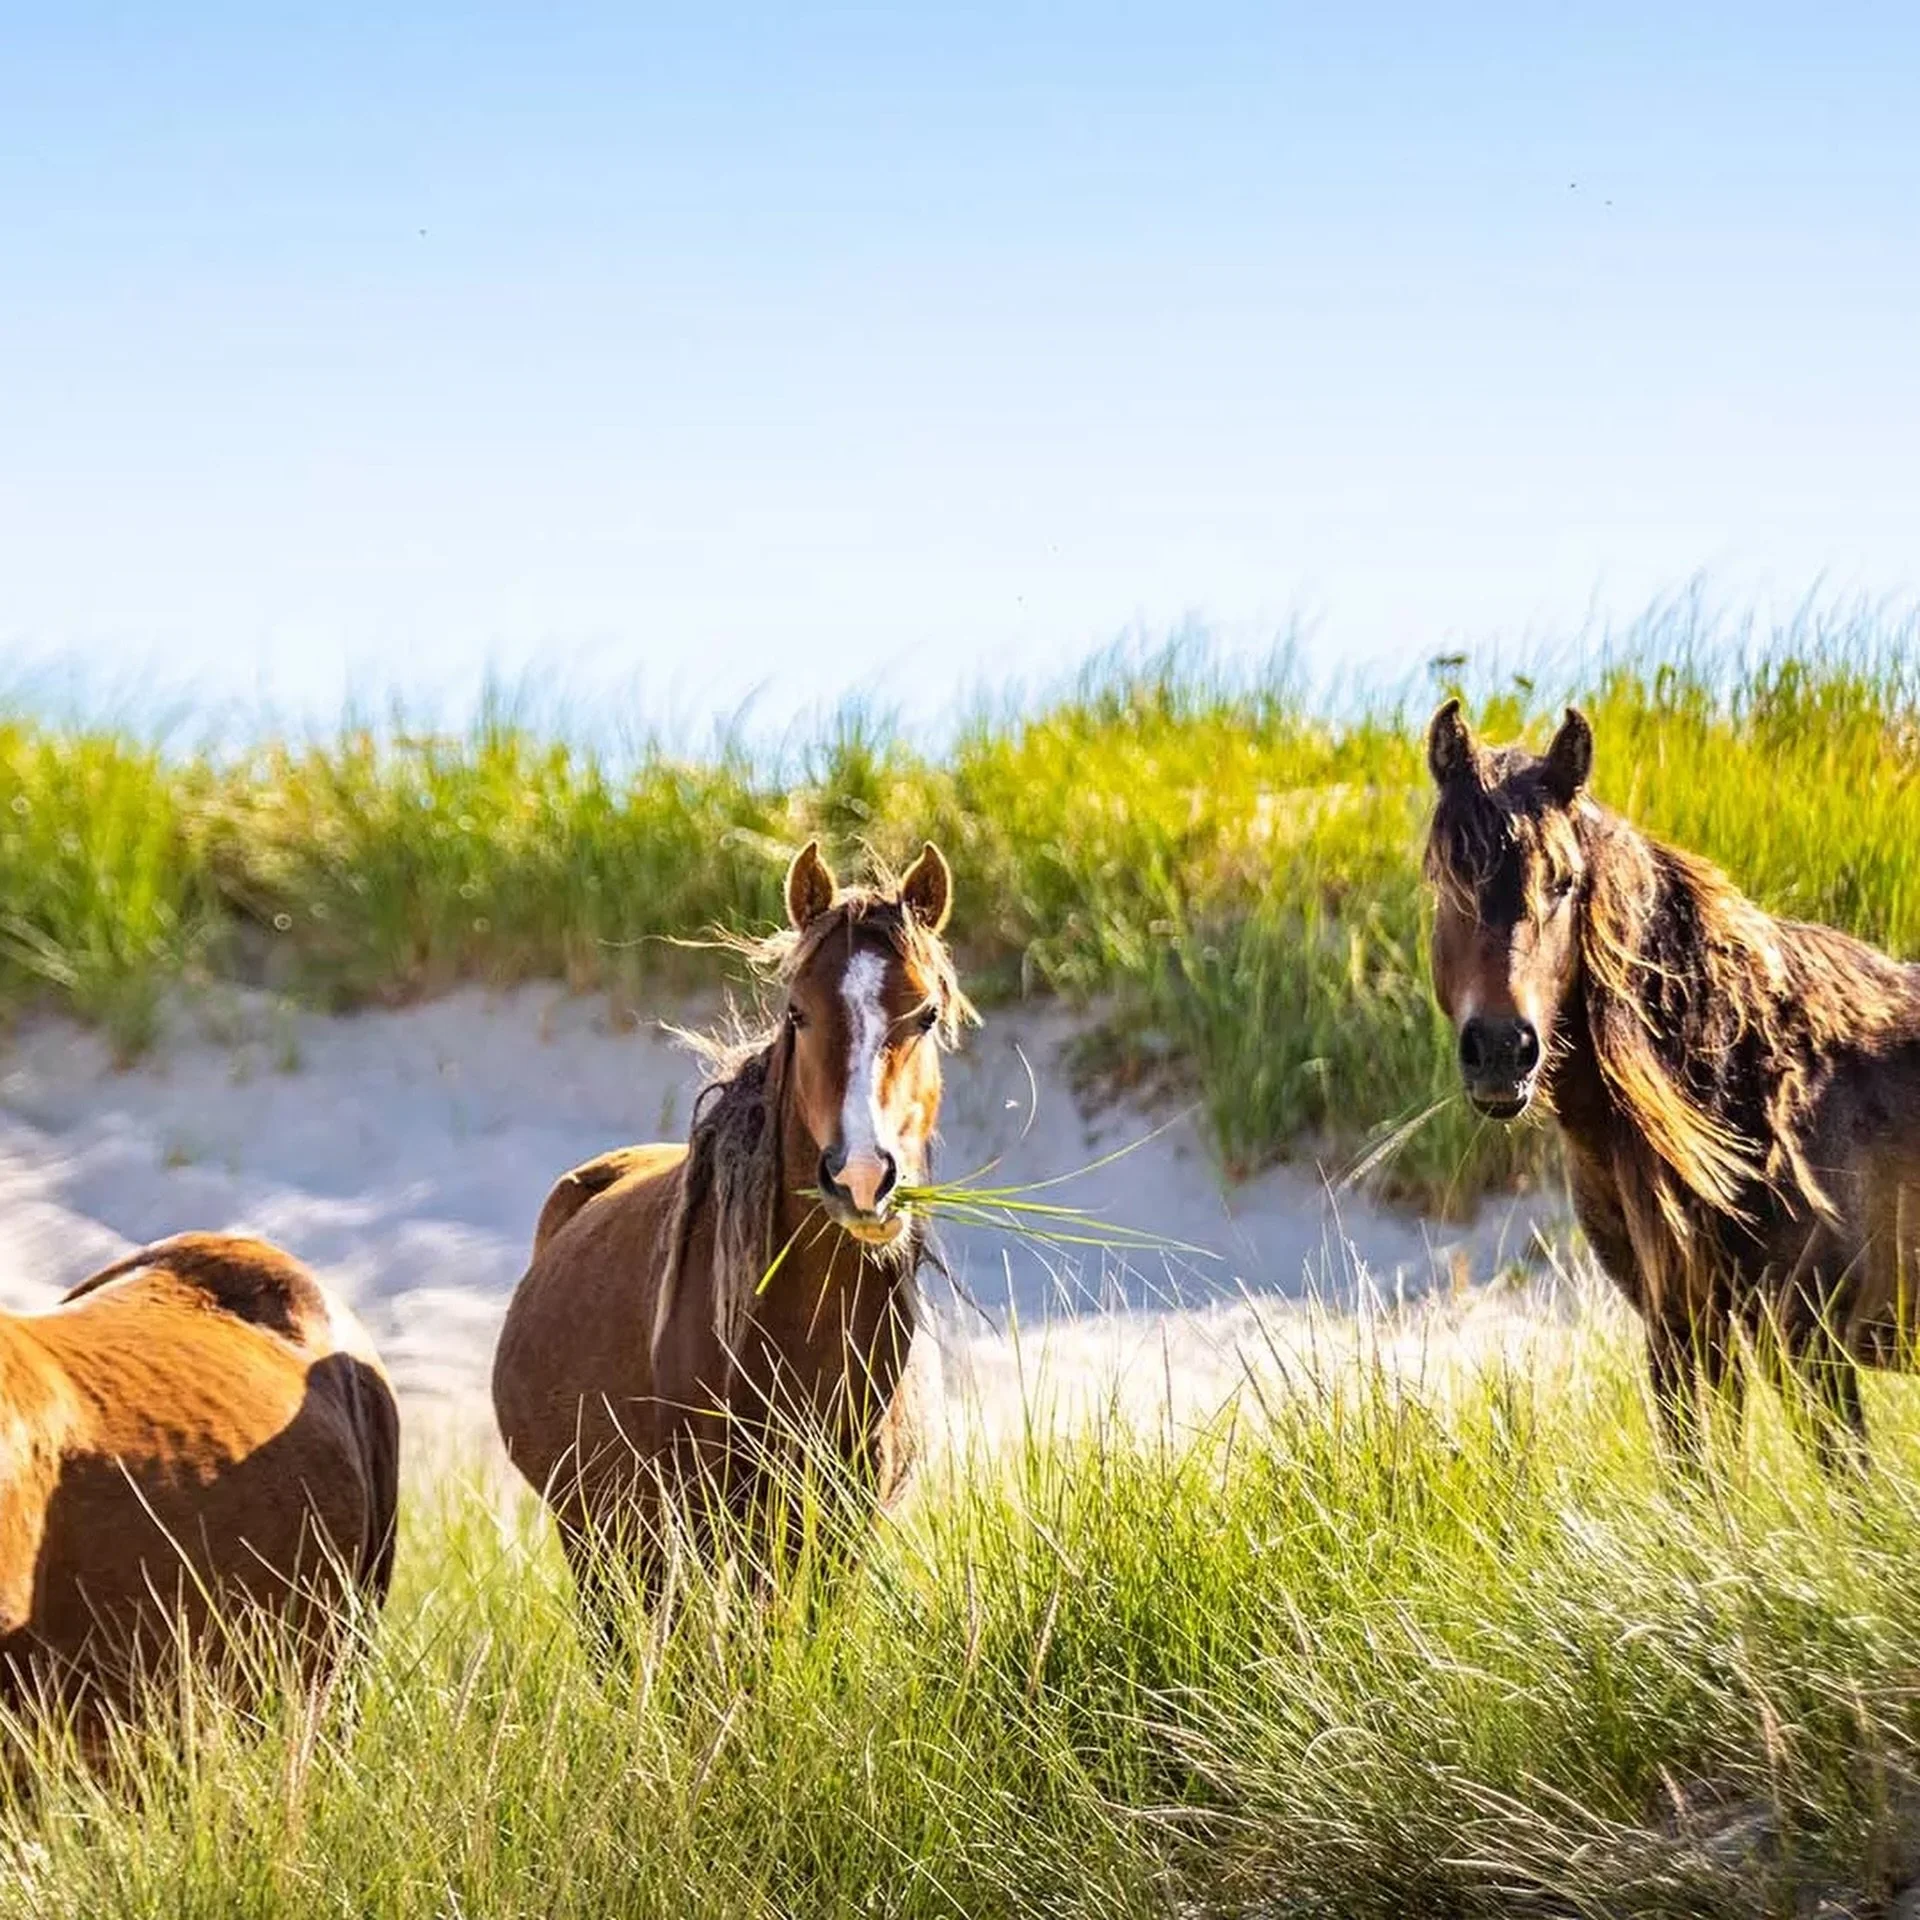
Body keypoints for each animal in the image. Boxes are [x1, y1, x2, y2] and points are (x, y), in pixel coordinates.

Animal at [491, 840, 972, 1631]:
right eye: (797, 1012)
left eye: (927, 1014)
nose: (862, 1177)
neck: (809, 1322)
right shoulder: (721, 1516)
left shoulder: (841, 1520)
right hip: (600, 1536)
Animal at [1424, 699, 1920, 1467]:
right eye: (1447, 878)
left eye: (1563, 882)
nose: (1504, 1049)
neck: (1738, 1077)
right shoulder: (1681, 1326)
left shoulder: (1809, 1342)